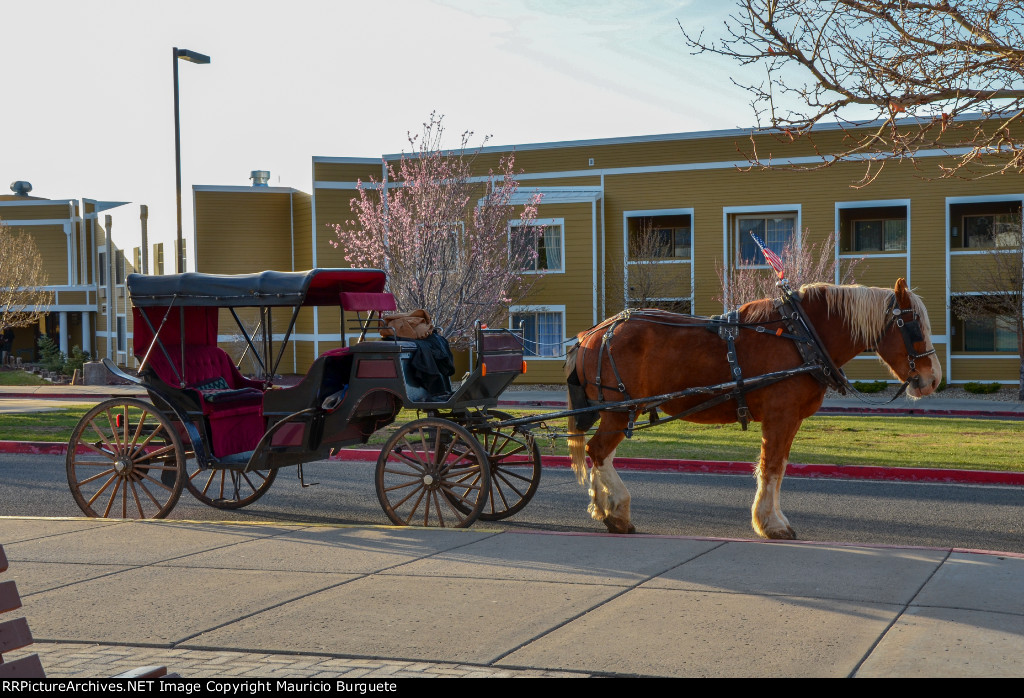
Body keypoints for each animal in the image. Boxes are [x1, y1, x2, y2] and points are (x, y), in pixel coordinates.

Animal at [565, 278, 937, 536]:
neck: (802, 336)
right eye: (914, 327)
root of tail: (591, 334)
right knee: (599, 452)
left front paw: (773, 518)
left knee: (602, 455)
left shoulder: (790, 419)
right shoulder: (779, 416)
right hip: (618, 409)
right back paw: (617, 512)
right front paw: (771, 524)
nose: (933, 379)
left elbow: (781, 467)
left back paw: (605, 508)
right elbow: (770, 466)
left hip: (622, 410)